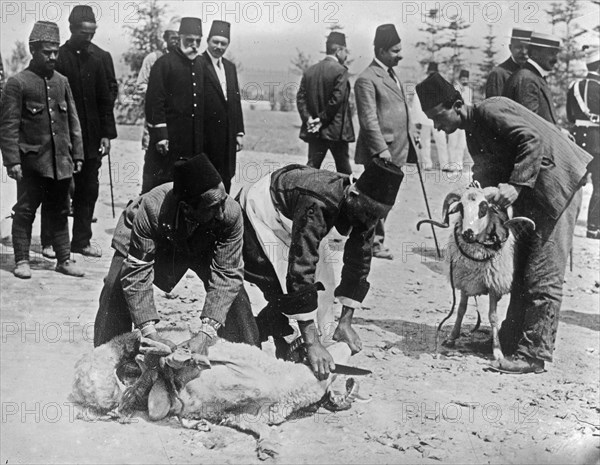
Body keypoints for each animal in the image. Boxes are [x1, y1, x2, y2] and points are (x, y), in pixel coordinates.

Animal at [418, 181, 536, 358]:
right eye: (460, 208)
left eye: (484, 207)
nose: (468, 233)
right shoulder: (465, 282)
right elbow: (461, 310)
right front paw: (452, 337)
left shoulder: (494, 285)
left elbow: (493, 317)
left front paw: (497, 350)